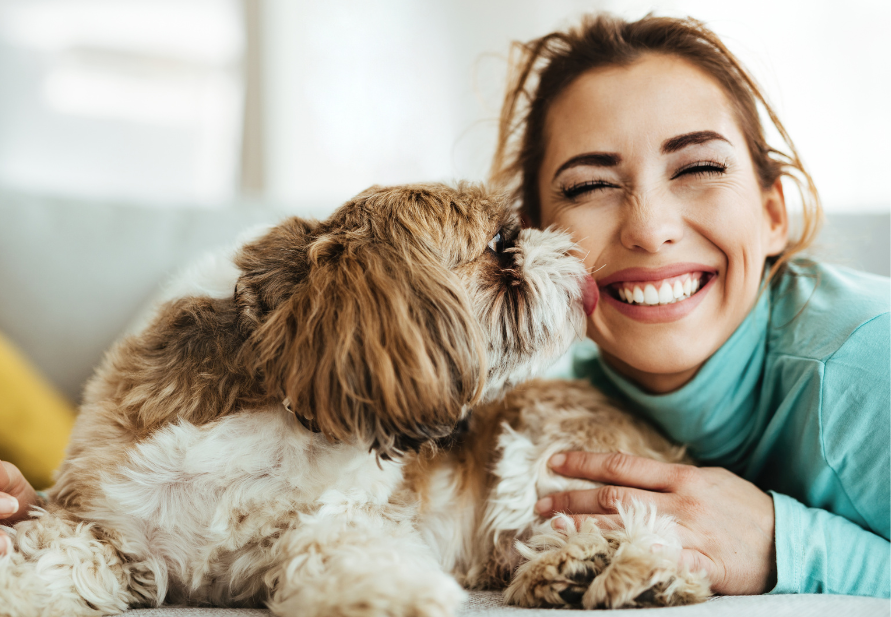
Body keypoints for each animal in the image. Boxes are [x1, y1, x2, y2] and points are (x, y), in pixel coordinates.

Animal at [0, 183, 712, 616]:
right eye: (498, 245)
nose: (577, 263)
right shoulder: (97, 513)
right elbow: (48, 555)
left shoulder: (347, 514)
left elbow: (339, 547)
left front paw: (397, 596)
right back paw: (569, 572)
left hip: (542, 449)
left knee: (646, 526)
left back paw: (625, 571)